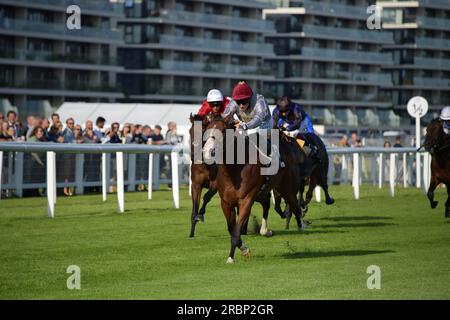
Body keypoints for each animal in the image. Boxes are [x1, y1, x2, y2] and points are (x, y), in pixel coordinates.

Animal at [206, 115, 308, 262]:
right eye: (206, 129)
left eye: (223, 131)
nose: (208, 152)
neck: (235, 170)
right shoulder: (226, 202)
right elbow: (231, 229)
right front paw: (244, 249)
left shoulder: (246, 200)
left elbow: (236, 231)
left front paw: (231, 257)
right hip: (262, 192)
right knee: (267, 204)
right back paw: (266, 230)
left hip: (287, 188)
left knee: (294, 205)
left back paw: (301, 225)